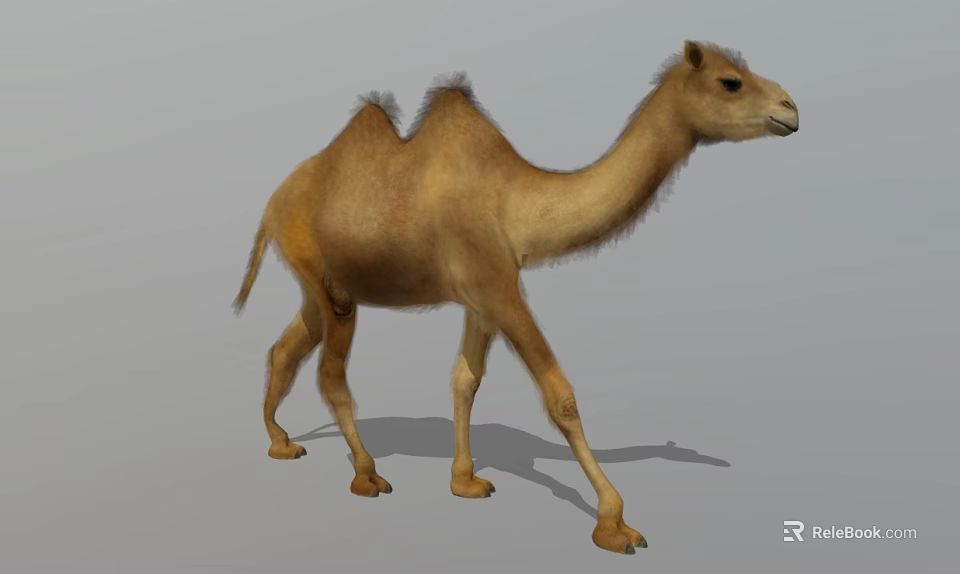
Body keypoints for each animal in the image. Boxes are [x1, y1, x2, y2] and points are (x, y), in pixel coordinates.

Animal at [232, 40, 799, 555]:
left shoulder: (482, 296)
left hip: (323, 287)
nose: (790, 108)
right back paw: (367, 475)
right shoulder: (498, 286)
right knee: (331, 374)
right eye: (731, 81)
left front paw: (465, 481)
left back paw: (281, 442)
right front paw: (614, 523)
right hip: (322, 274)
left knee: (286, 348)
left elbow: (465, 380)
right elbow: (560, 395)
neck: (517, 201)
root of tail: (272, 203)